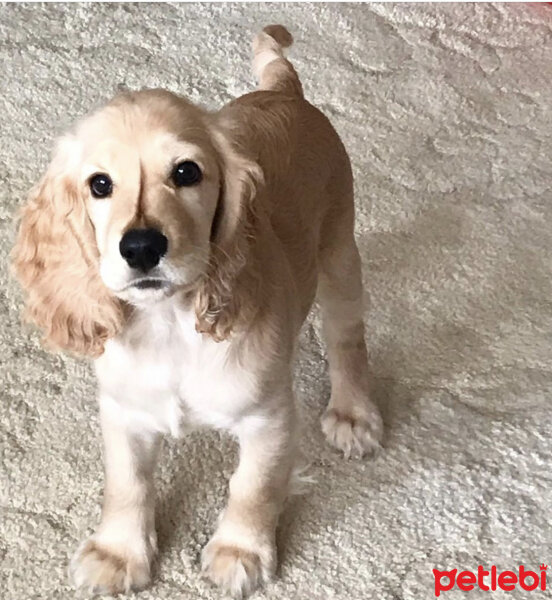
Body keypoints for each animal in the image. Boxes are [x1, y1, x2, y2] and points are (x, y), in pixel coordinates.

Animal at [12, 25, 384, 596]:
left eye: (186, 172)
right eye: (100, 184)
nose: (141, 247)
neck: (169, 325)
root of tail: (284, 92)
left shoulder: (269, 417)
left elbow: (253, 486)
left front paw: (239, 551)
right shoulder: (123, 411)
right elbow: (126, 483)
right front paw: (118, 553)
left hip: (340, 251)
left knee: (347, 336)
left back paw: (353, 413)